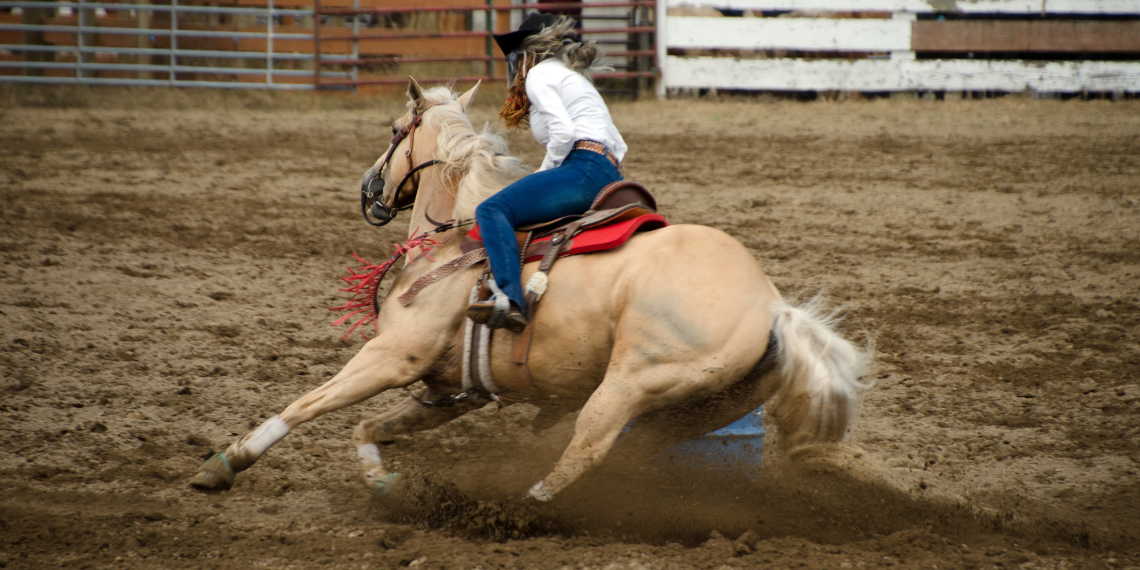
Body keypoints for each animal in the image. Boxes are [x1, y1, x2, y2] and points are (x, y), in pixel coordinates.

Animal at [190, 78, 870, 502]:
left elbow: (307, 406)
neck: (454, 237)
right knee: (626, 453)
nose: (370, 191)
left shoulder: (392, 357)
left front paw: (224, 465)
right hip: (697, 408)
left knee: (587, 450)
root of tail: (773, 304)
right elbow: (370, 428)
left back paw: (517, 510)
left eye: (393, 128)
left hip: (632, 381)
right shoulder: (450, 392)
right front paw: (385, 487)